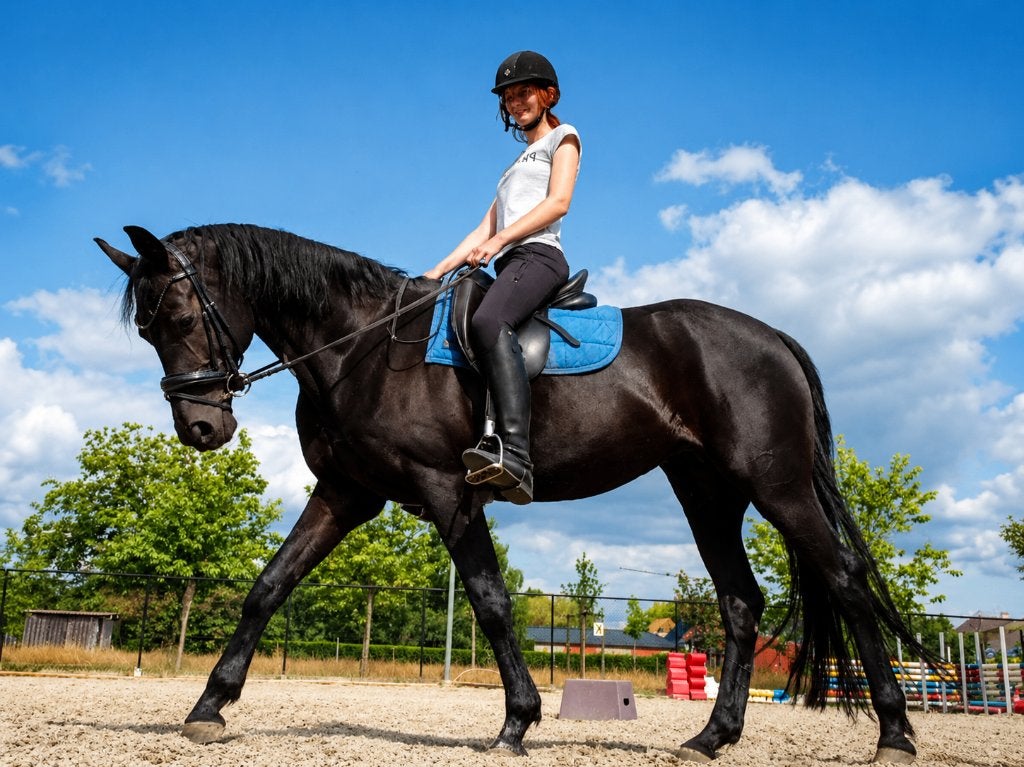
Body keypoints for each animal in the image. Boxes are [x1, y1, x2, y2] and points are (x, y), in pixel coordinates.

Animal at [96, 222, 925, 763]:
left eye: (177, 314)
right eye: (145, 331)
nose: (201, 428)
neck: (362, 344)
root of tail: (773, 336)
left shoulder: (448, 491)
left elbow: (491, 600)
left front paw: (517, 723)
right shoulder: (346, 492)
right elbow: (267, 586)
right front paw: (208, 707)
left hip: (775, 485)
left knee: (846, 581)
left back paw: (894, 733)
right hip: (707, 493)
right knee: (741, 603)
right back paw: (710, 736)